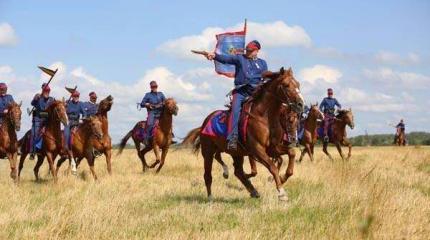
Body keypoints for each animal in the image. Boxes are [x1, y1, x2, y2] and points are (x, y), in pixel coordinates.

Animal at [183, 67, 304, 201]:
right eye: (286, 85)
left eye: (298, 84)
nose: (300, 104)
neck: (264, 117)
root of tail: (204, 123)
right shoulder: (257, 149)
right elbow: (272, 167)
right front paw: (282, 193)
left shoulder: (272, 148)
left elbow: (291, 154)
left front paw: (282, 179)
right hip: (208, 152)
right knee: (208, 175)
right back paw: (210, 197)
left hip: (236, 153)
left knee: (238, 171)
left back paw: (252, 190)